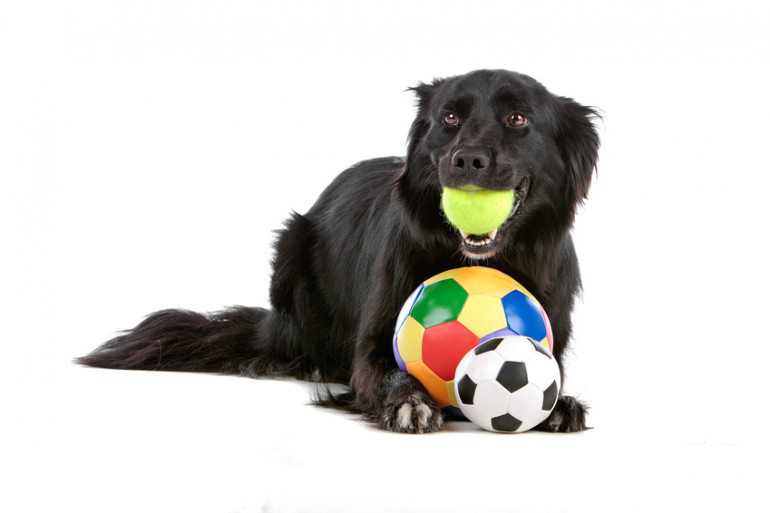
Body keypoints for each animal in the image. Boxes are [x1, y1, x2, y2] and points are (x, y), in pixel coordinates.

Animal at [82, 70, 600, 432]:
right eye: (450, 118)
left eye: (518, 119)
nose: (467, 159)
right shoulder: (370, 346)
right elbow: (382, 372)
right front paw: (410, 402)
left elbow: (554, 375)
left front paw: (560, 405)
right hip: (290, 250)